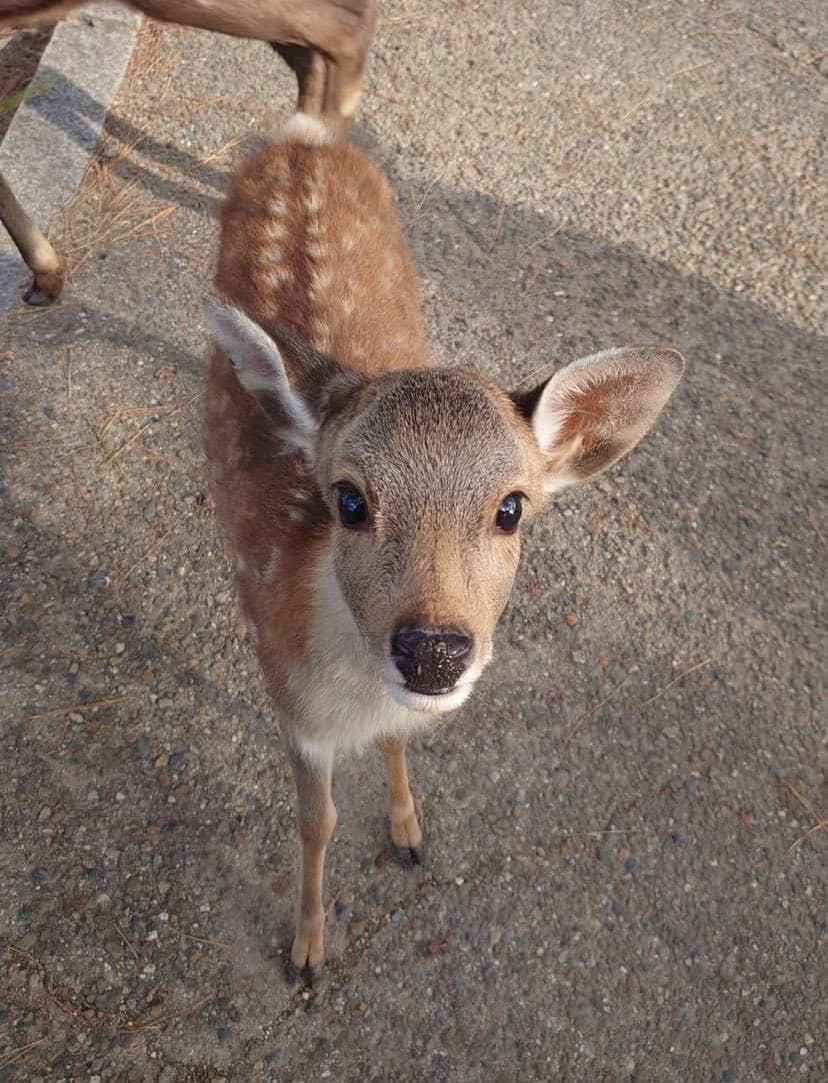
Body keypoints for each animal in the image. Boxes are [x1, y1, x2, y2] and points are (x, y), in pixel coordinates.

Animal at [203, 112, 685, 981]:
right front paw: (307, 950)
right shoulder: (288, 699)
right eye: (348, 499)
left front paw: (407, 830)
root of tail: (306, 131)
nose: (434, 649)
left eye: (512, 508)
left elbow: (396, 745)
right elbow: (315, 821)